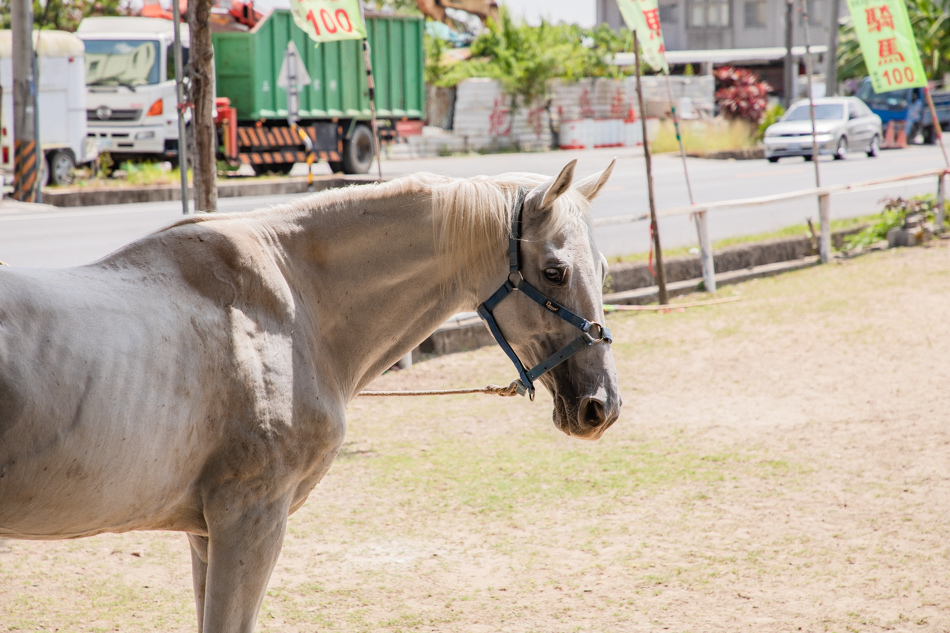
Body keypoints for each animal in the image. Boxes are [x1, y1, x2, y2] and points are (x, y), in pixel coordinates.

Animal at [0, 158, 620, 628]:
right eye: (556, 271)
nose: (602, 407)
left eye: (605, 269)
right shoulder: (249, 522)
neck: (288, 305)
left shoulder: (205, 534)